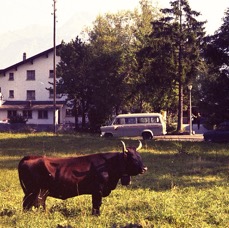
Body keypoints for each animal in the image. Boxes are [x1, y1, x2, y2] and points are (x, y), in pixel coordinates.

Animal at [17, 141, 147, 216]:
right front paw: (96, 215)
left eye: (139, 156)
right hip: (35, 191)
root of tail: (30, 157)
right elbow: (96, 204)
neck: (108, 165)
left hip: (37, 192)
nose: (144, 168)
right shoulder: (98, 190)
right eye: (132, 158)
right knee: (30, 204)